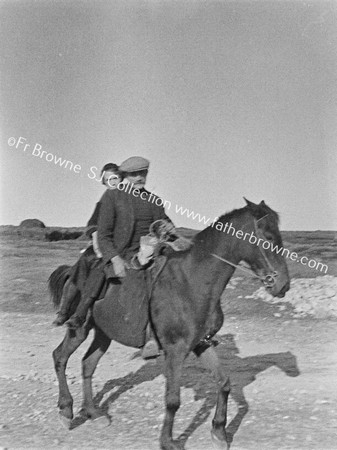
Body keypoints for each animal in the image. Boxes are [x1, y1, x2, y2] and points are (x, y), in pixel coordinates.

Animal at [49, 200, 288, 450]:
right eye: (268, 237)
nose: (283, 284)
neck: (193, 282)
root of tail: (75, 268)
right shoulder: (175, 350)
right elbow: (172, 399)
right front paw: (168, 441)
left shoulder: (201, 344)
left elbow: (223, 383)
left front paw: (219, 432)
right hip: (80, 328)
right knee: (60, 357)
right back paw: (66, 410)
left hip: (104, 333)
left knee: (87, 364)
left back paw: (93, 412)